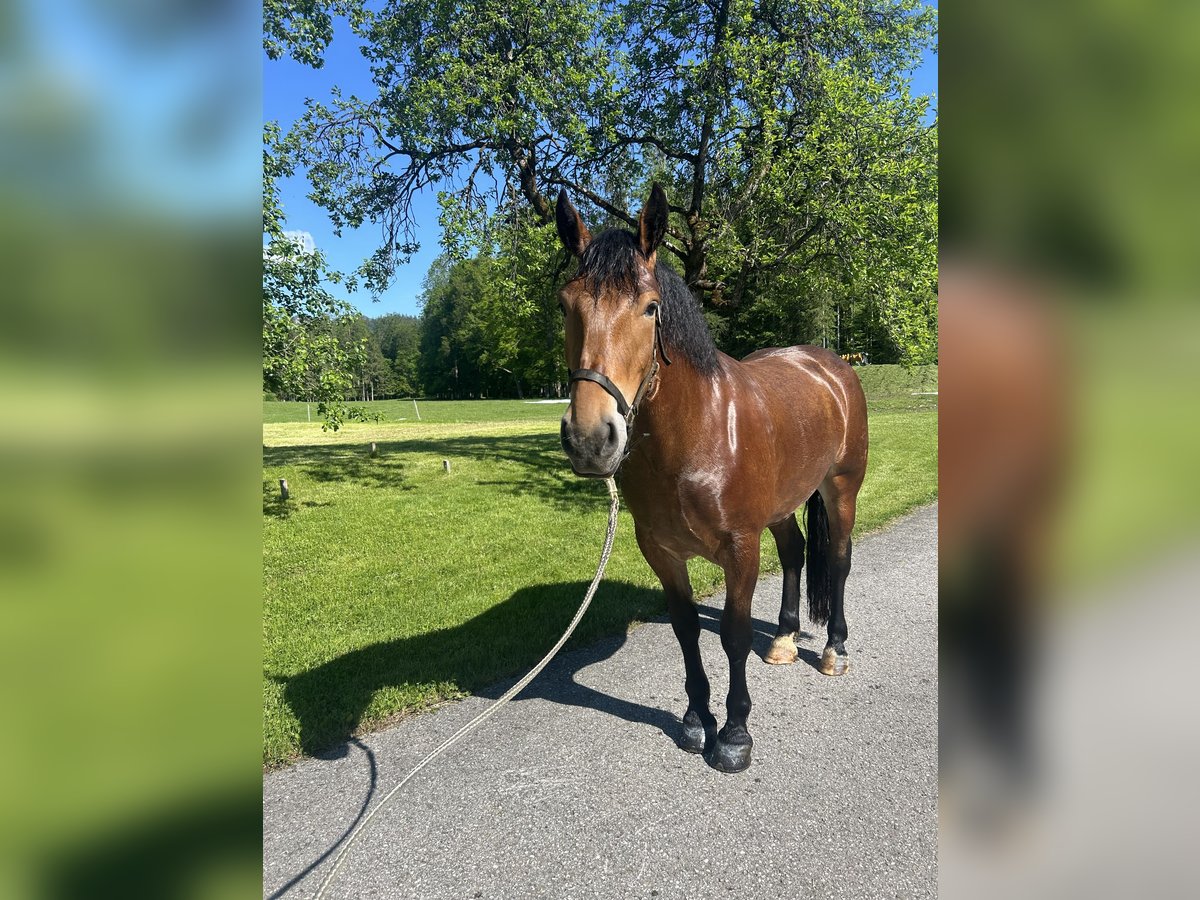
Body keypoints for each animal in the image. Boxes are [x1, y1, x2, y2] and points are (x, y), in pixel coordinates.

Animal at [556, 184, 868, 777]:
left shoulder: (740, 549)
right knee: (794, 553)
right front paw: (697, 719)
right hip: (782, 507)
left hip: (841, 490)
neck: (695, 436)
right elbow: (686, 631)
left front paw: (735, 734)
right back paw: (785, 639)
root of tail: (831, 365)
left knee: (838, 561)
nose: (590, 438)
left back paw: (834, 650)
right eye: (566, 305)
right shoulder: (662, 552)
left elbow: (733, 633)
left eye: (650, 308)